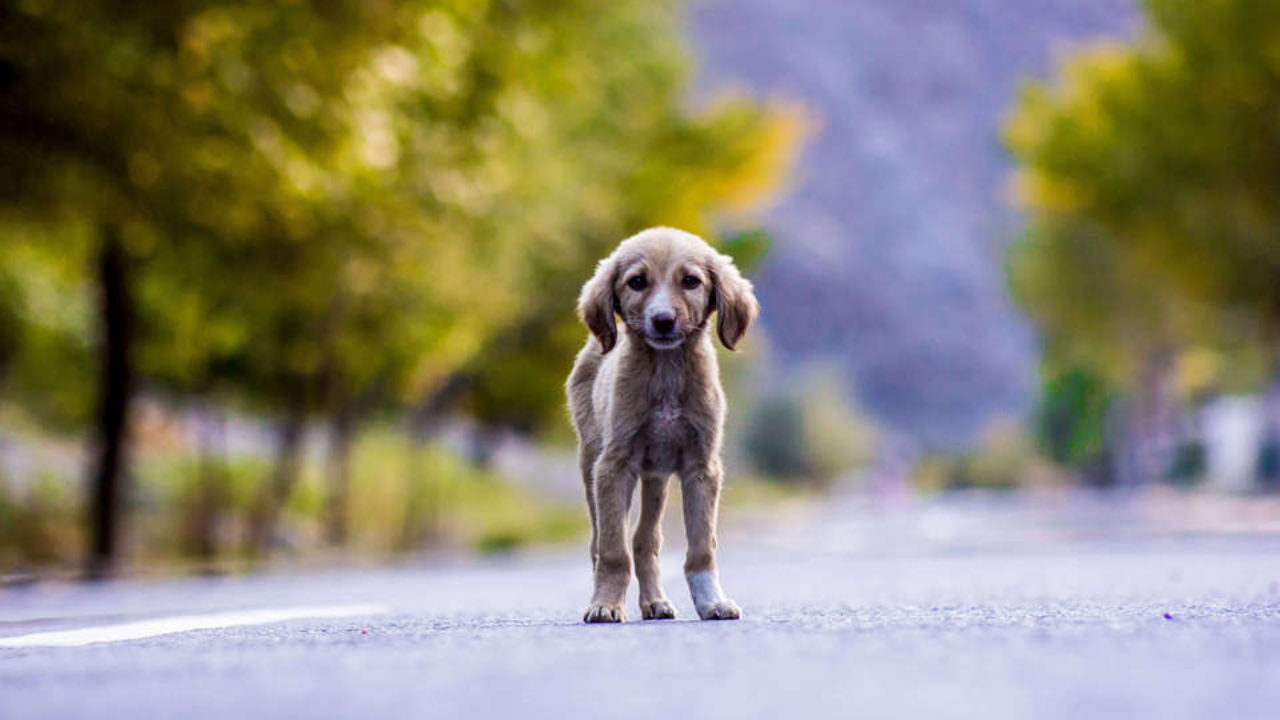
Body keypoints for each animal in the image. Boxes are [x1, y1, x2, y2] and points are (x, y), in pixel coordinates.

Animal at [565, 226, 752, 620]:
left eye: (691, 281)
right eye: (637, 281)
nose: (663, 320)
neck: (667, 371)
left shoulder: (702, 467)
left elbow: (701, 546)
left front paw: (712, 600)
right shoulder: (613, 466)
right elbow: (613, 550)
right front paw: (606, 603)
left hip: (656, 475)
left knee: (645, 539)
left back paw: (655, 601)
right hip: (590, 461)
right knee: (601, 541)